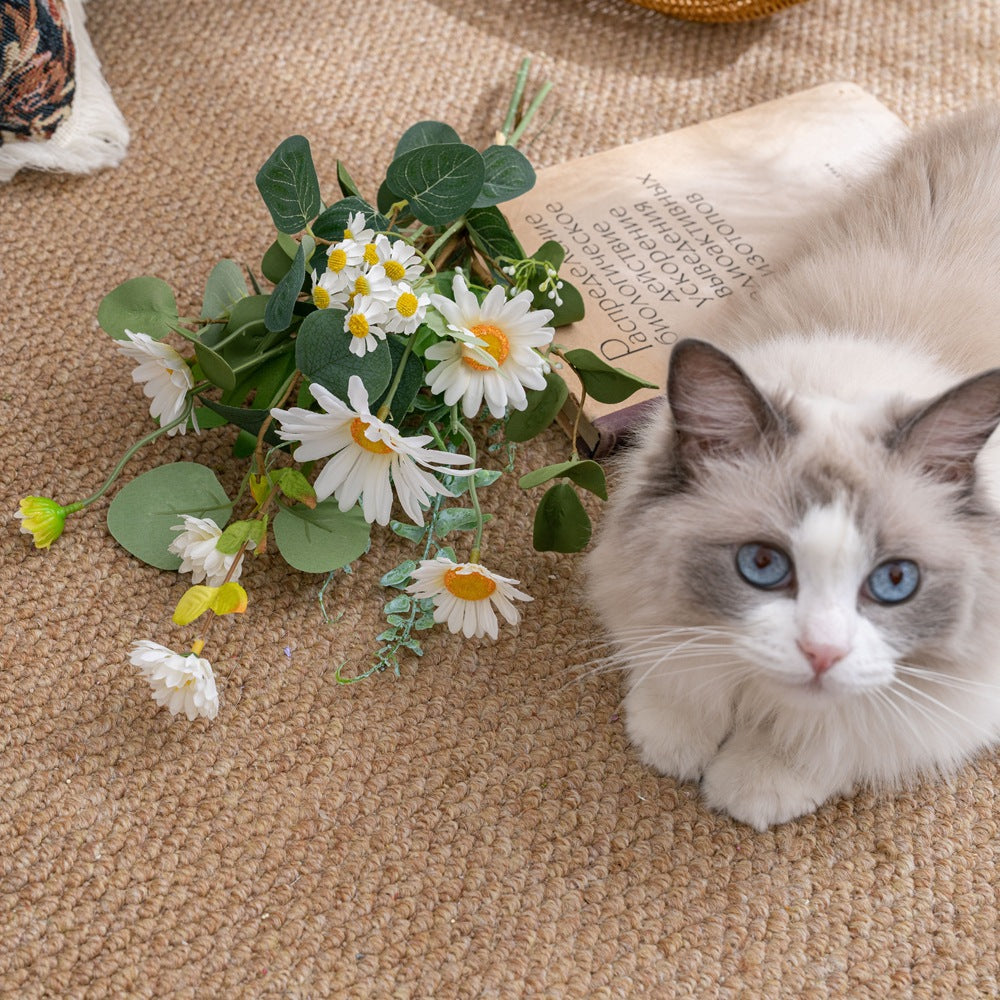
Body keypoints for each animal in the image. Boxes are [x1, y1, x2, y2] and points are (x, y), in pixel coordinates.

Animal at [588, 105, 1000, 832]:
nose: (822, 654)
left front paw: (755, 783)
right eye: (762, 566)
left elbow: (831, 731)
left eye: (895, 581)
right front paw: (673, 743)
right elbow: (679, 675)